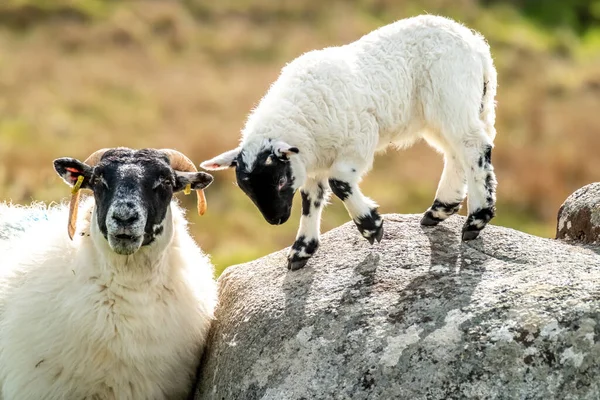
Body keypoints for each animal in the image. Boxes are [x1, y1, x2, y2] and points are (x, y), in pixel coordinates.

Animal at [202, 15, 496, 272]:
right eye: (246, 190)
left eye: (281, 181)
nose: (276, 220)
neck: (300, 118)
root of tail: (476, 43)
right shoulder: (311, 162)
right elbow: (311, 199)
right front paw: (301, 251)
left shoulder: (358, 141)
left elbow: (339, 183)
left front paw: (371, 227)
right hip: (450, 111)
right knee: (456, 153)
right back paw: (439, 210)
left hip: (451, 97)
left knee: (474, 147)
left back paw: (475, 220)